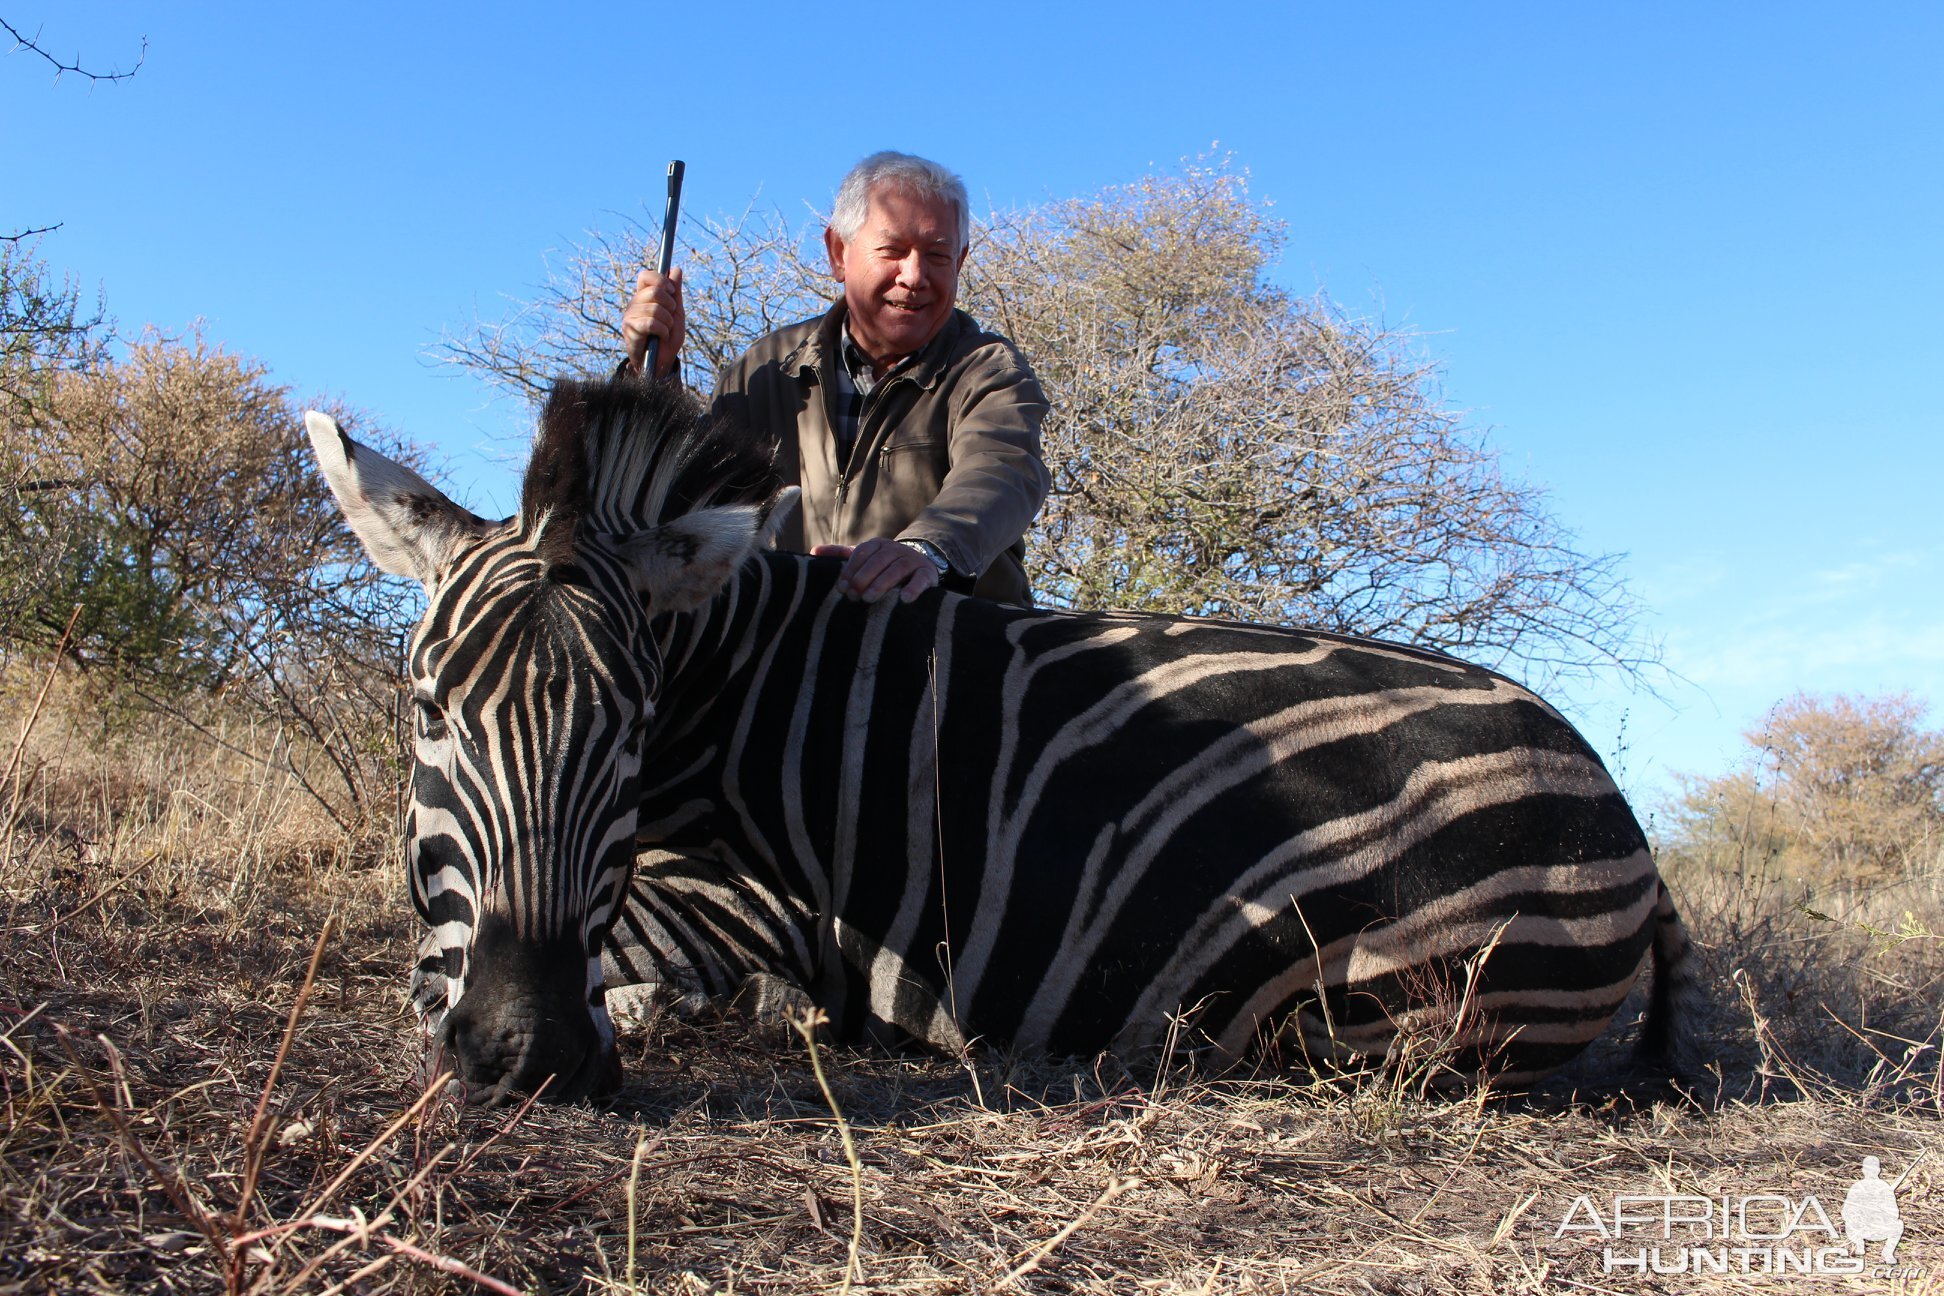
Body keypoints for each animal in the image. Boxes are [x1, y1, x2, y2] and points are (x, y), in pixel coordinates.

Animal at [303, 373, 1687, 1103]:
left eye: (634, 734)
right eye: (429, 709)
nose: (527, 1054)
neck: (738, 690)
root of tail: (1621, 813)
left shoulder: (735, 904)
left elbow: (452, 968)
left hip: (1370, 1016)